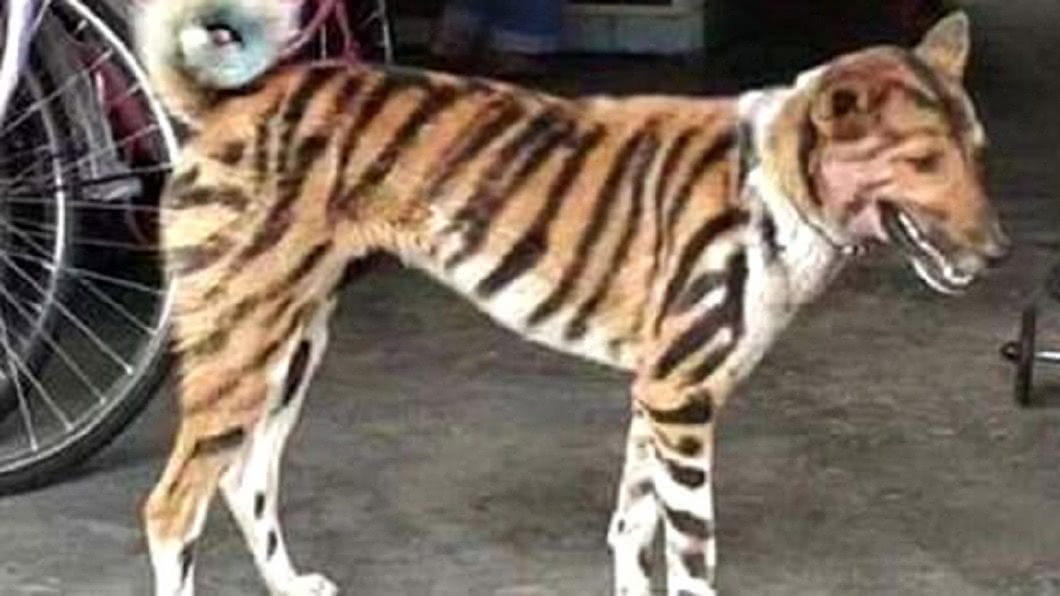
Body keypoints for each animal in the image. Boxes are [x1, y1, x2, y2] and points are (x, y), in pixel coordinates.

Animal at [135, 1, 1009, 594]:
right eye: (924, 161)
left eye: (974, 152)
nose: (999, 254)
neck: (775, 184)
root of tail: (228, 100)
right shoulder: (681, 401)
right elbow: (692, 556)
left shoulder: (659, 397)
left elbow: (630, 529)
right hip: (241, 348)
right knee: (173, 509)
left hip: (290, 348)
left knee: (244, 479)